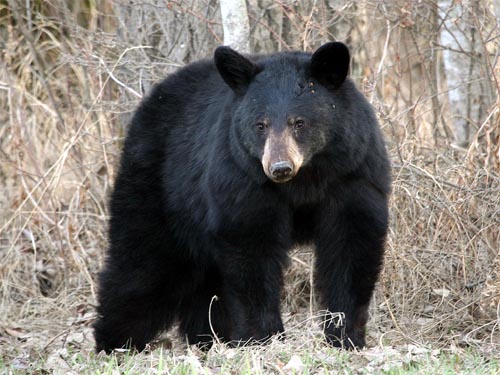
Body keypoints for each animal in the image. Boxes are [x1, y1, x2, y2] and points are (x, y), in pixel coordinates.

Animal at [93, 42, 390, 354]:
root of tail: (151, 99)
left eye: (299, 123)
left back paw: (208, 338)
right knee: (142, 264)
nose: (280, 168)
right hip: (159, 188)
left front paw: (345, 336)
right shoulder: (242, 179)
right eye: (261, 125)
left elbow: (351, 245)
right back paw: (115, 342)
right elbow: (252, 249)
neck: (305, 179)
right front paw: (264, 338)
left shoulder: (353, 173)